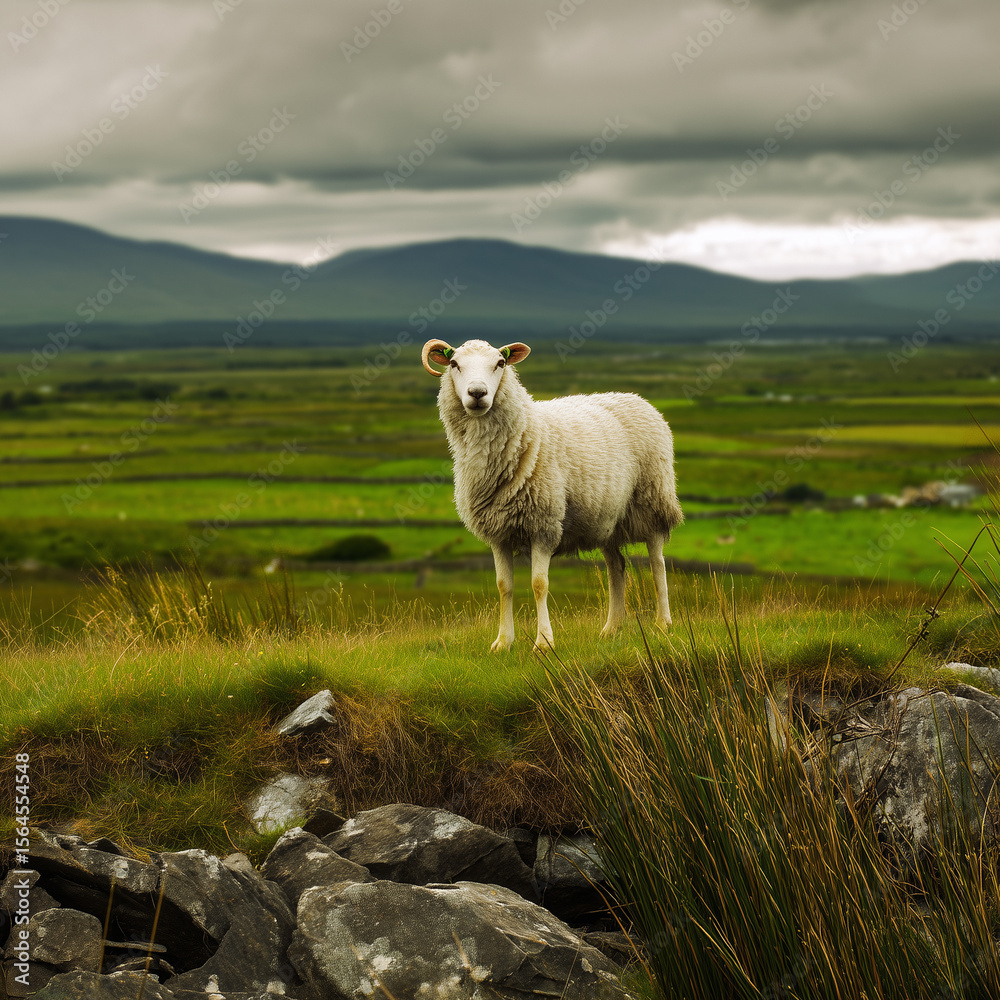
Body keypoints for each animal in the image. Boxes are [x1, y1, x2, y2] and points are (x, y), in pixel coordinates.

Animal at [421, 338, 682, 651]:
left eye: (500, 363)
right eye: (454, 364)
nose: (477, 393)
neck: (525, 433)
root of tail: (636, 398)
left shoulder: (544, 524)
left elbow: (539, 584)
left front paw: (544, 642)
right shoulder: (498, 532)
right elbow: (503, 586)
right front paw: (503, 642)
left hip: (652, 500)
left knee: (657, 563)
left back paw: (663, 623)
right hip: (607, 517)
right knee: (616, 566)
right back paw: (612, 628)